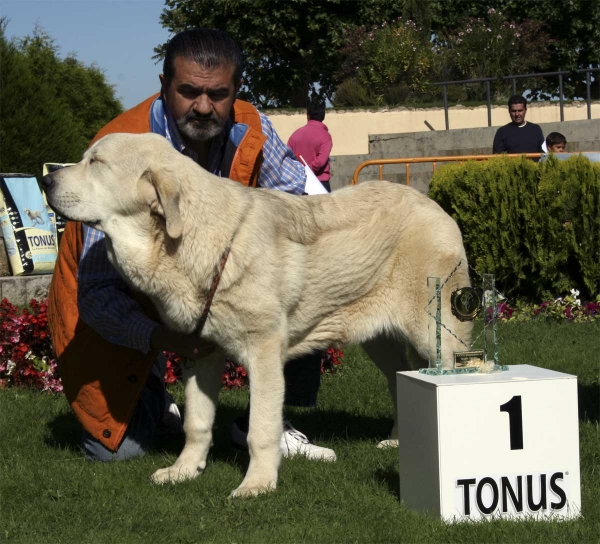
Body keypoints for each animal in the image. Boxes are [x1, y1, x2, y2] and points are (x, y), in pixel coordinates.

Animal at [43, 132, 474, 498]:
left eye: (96, 162)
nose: (46, 180)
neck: (195, 240)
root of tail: (433, 205)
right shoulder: (200, 353)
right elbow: (196, 422)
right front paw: (185, 470)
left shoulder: (264, 351)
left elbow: (260, 429)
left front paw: (258, 484)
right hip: (381, 342)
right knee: (400, 380)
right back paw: (399, 439)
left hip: (433, 334)